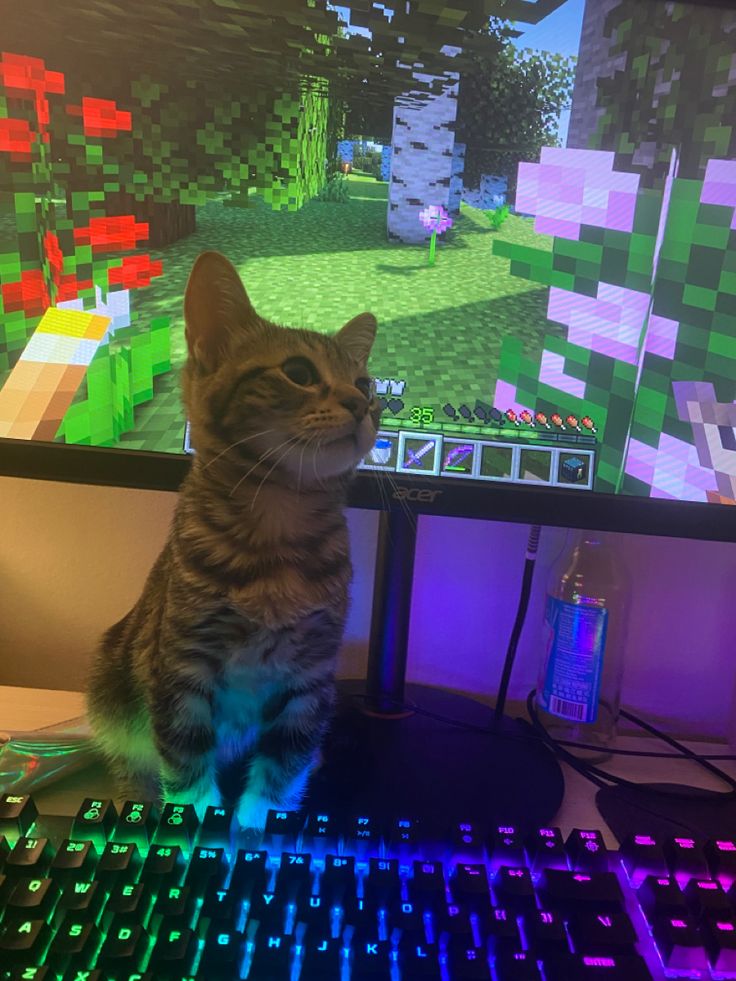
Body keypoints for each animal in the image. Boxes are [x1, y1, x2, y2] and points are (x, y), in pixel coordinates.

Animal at [86, 247, 380, 828]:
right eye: (298, 372)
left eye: (365, 385)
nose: (362, 405)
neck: (279, 527)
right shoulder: (180, 669)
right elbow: (186, 769)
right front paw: (197, 826)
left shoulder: (311, 680)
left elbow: (282, 772)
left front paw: (256, 827)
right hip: (113, 692)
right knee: (133, 766)